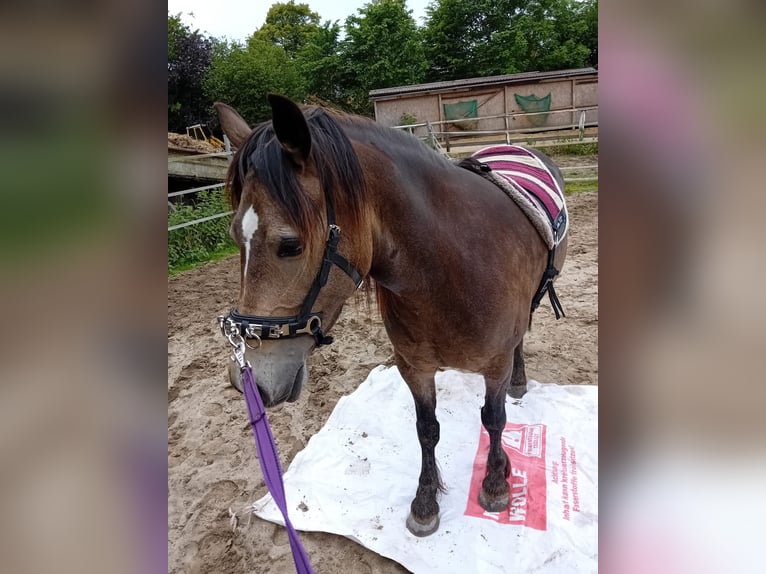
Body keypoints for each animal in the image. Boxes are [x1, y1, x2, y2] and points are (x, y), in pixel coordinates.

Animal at [213, 95, 568, 540]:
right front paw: (425, 502)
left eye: (290, 245)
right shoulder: (413, 367)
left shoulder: (495, 363)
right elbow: (427, 430)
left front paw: (495, 483)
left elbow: (494, 419)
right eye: (234, 238)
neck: (451, 267)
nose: (248, 381)